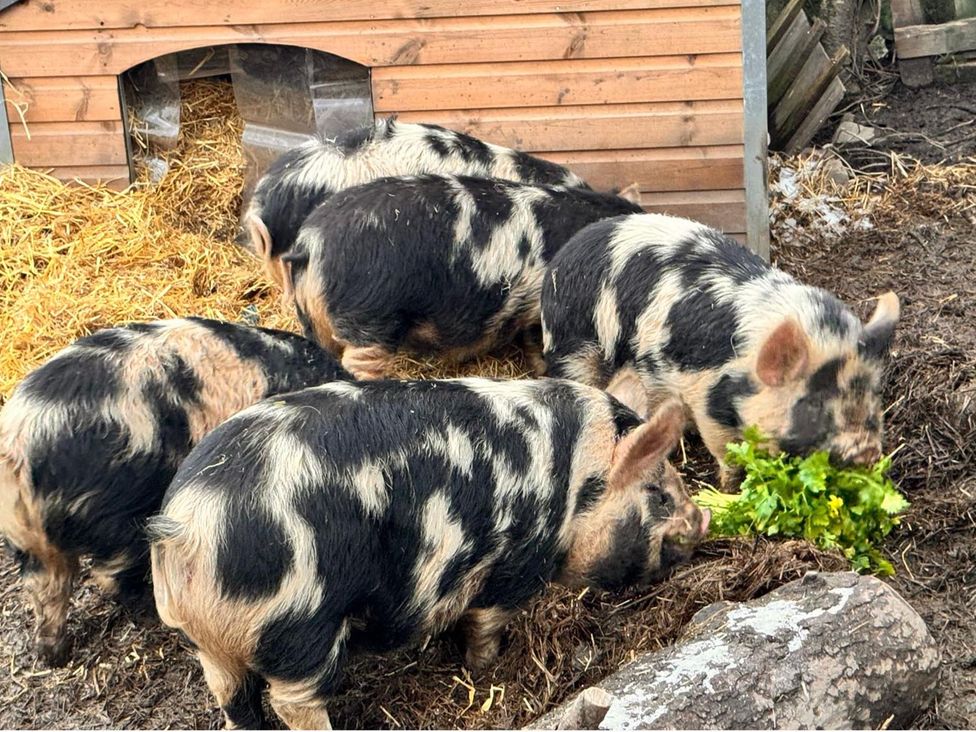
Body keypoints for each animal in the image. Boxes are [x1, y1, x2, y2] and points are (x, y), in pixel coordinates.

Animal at [0, 317, 350, 666]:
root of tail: (18, 451)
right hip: (117, 513)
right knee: (108, 574)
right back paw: (146, 608)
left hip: (29, 541)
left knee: (45, 588)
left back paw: (53, 655)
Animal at [150, 377, 709, 729]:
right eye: (659, 494)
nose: (702, 518)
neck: (576, 482)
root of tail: (187, 526)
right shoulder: (516, 564)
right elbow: (487, 621)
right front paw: (487, 667)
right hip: (298, 624)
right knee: (294, 700)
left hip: (212, 643)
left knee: (234, 700)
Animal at [540, 213, 901, 487]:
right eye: (813, 402)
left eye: (873, 394)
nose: (867, 450)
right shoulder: (707, 398)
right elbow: (727, 450)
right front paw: (730, 488)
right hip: (573, 345)